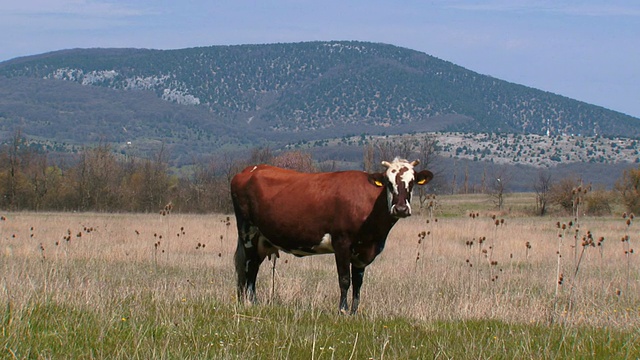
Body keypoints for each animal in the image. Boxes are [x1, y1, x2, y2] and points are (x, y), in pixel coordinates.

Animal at [230, 157, 436, 312]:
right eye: (388, 183)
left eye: (412, 182)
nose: (400, 208)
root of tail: (248, 170)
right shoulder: (342, 243)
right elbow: (344, 279)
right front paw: (342, 311)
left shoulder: (363, 251)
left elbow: (358, 283)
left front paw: (354, 312)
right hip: (248, 233)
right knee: (248, 267)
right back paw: (247, 303)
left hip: (262, 240)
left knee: (252, 268)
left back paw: (252, 302)